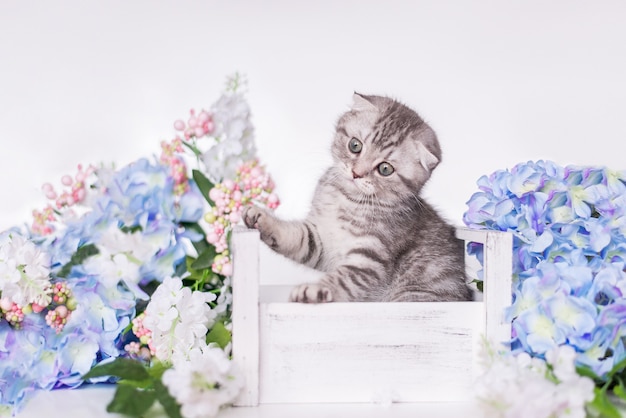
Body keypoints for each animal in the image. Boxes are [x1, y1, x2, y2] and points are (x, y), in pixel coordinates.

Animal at [241, 94, 470, 304]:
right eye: (355, 145)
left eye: (385, 169)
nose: (356, 173)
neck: (346, 199)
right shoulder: (320, 240)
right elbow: (294, 237)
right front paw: (261, 218)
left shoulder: (371, 259)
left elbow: (344, 279)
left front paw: (315, 289)